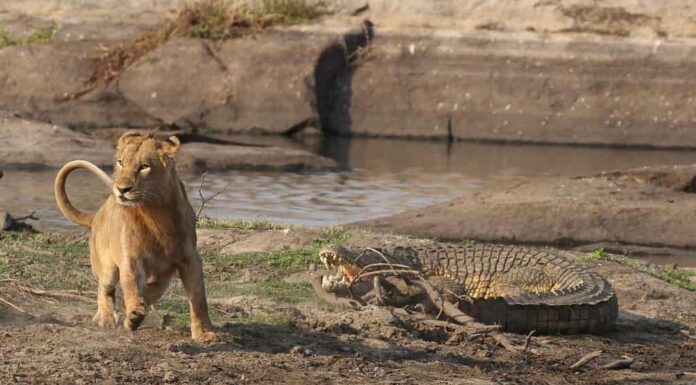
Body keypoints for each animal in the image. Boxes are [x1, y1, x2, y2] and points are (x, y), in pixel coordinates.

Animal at [54, 130, 216, 340]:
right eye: (121, 162)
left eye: (144, 167)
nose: (122, 189)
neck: (156, 214)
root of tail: (97, 214)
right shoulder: (130, 257)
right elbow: (131, 286)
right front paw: (133, 315)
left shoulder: (190, 259)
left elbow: (198, 298)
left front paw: (204, 333)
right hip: (106, 265)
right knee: (105, 289)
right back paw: (106, 318)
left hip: (163, 275)